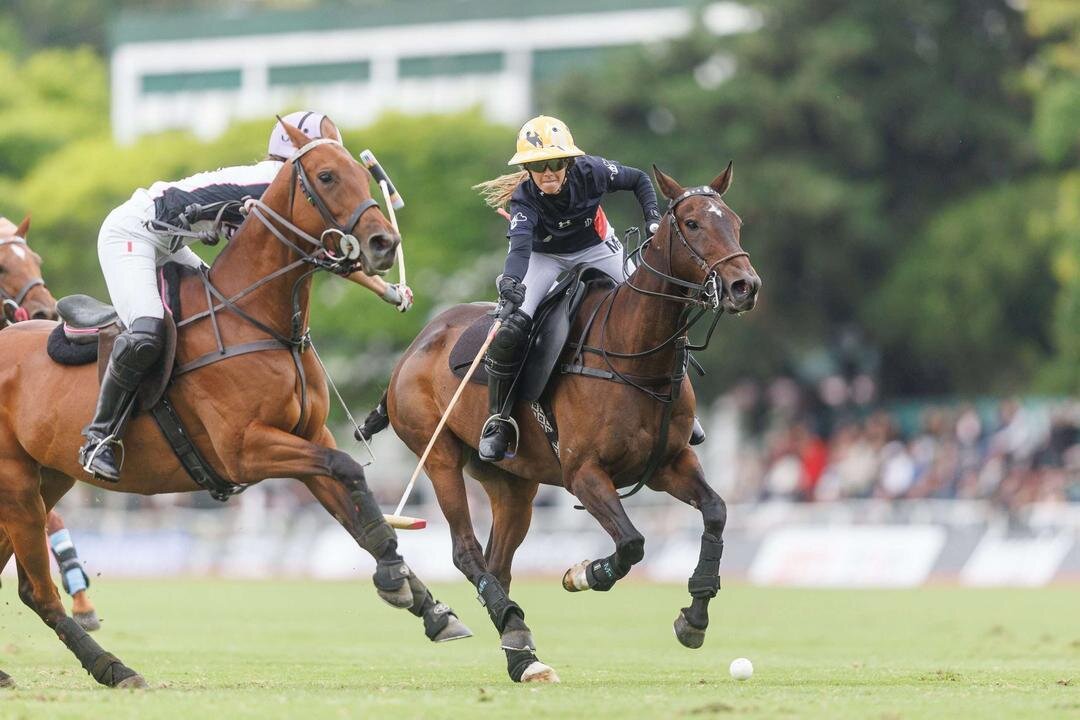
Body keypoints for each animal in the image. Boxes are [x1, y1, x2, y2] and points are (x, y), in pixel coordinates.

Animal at [2, 124, 470, 690]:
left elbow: (355, 512)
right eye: (326, 176)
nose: (385, 244)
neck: (259, 317)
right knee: (39, 592)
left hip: (45, 479)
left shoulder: (306, 439)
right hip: (17, 486)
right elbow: (350, 470)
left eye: (364, 175)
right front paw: (394, 575)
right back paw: (114, 668)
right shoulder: (245, 450)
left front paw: (424, 601)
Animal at [369, 166, 760, 686]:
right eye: (693, 224)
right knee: (467, 551)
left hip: (513, 483)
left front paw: (694, 618)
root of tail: (415, 345)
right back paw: (516, 637)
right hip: (439, 456)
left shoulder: (669, 462)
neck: (635, 354)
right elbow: (632, 543)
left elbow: (716, 510)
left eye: (734, 221)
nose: (745, 286)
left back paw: (520, 650)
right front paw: (583, 574)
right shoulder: (583, 473)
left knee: (498, 561)